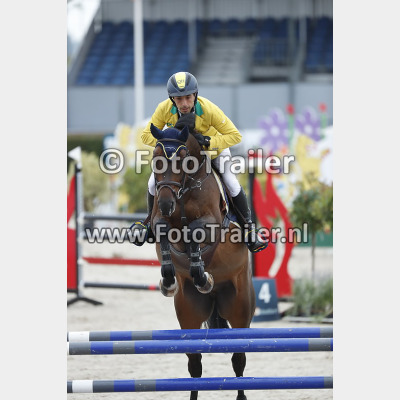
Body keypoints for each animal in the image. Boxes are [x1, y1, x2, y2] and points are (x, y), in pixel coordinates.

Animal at [148, 123, 256, 400]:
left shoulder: (212, 224)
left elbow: (194, 231)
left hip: (239, 308)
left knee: (239, 358)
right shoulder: (160, 220)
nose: (166, 203)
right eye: (155, 158)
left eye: (182, 160)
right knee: (195, 364)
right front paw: (168, 280)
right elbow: (164, 231)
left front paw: (202, 276)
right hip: (189, 313)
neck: (184, 189)